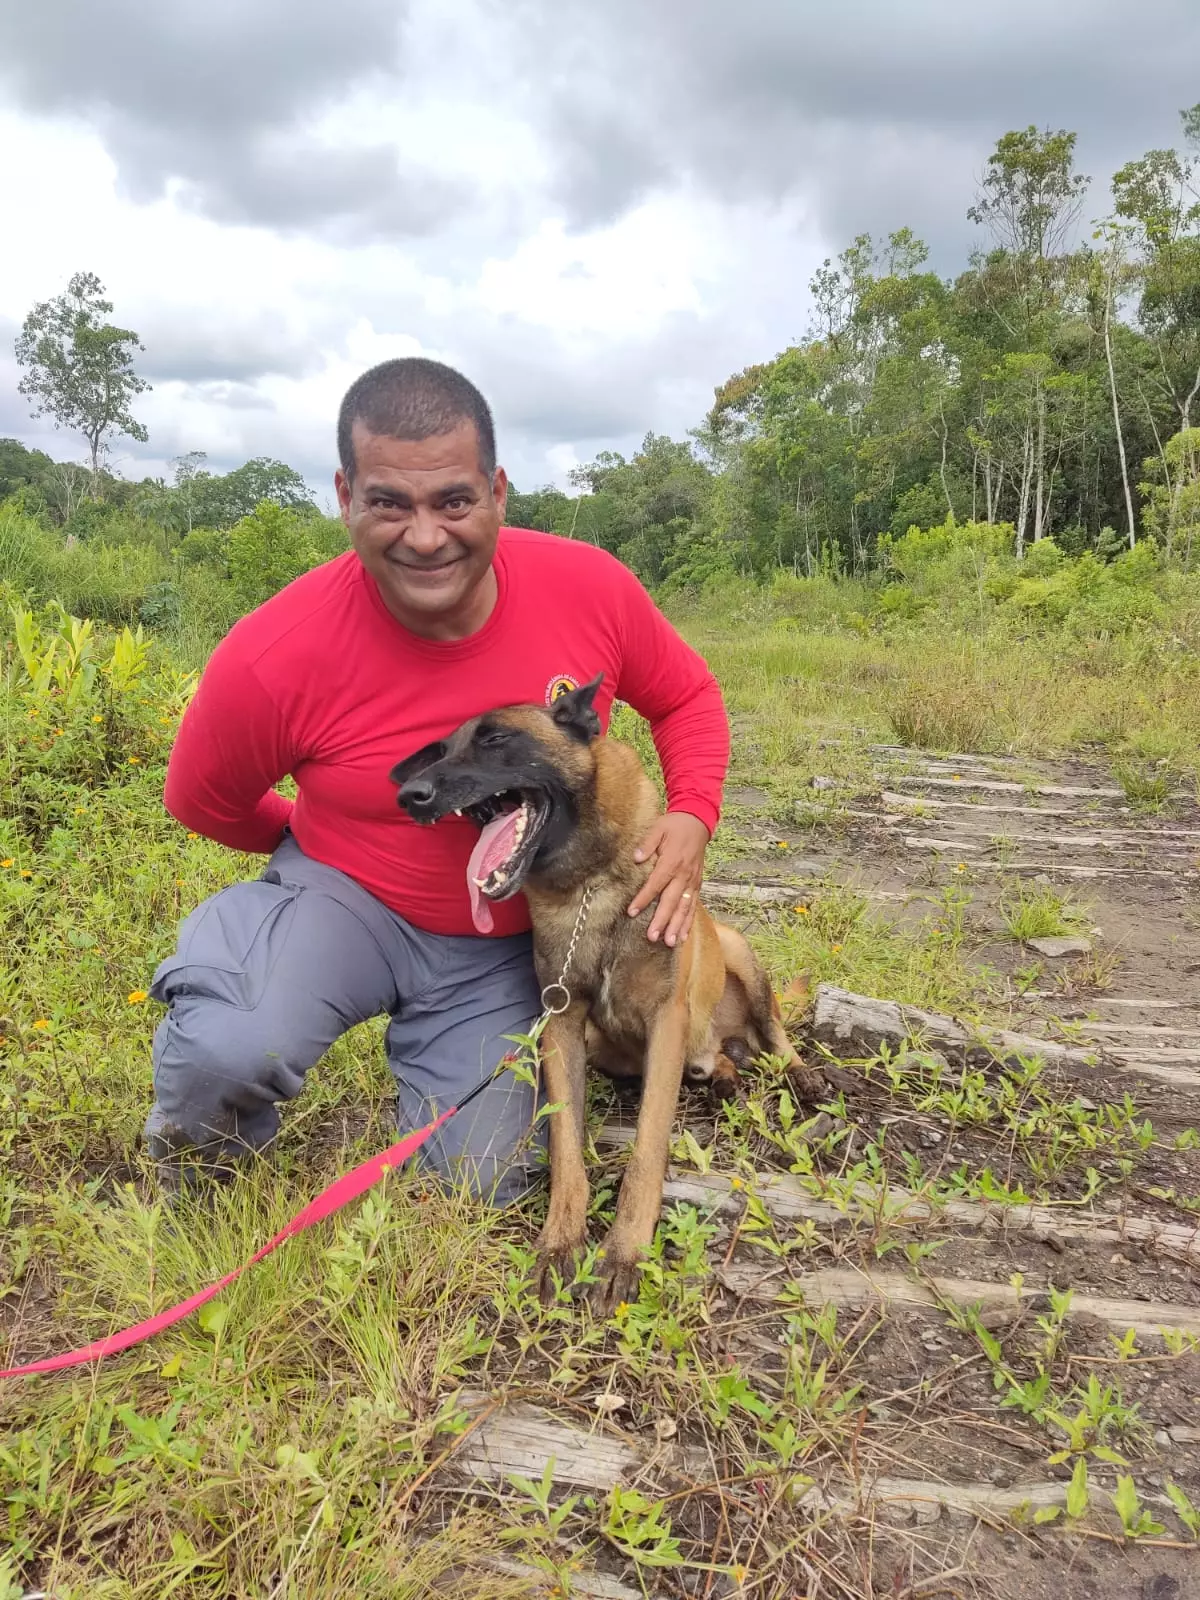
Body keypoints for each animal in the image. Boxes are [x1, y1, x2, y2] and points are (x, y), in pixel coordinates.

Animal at [392, 675, 819, 1312]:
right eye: (441, 750)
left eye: (495, 739)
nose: (410, 795)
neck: (589, 886)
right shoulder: (563, 1024)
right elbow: (567, 1146)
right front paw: (560, 1244)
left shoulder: (665, 1022)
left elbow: (647, 1150)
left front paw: (624, 1254)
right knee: (716, 1056)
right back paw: (721, 1077)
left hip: (738, 950)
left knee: (772, 1030)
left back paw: (797, 1073)